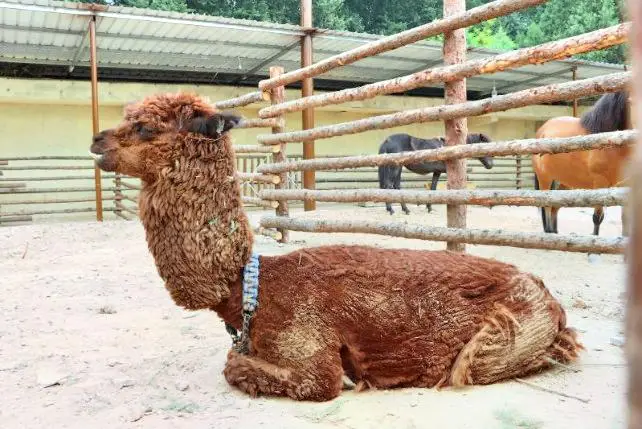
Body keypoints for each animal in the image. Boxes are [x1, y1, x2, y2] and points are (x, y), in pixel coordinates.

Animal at [528, 91, 632, 237]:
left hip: (565, 182)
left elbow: (625, 219)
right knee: (547, 206)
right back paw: (549, 233)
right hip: (545, 179)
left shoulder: (626, 184)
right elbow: (597, 217)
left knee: (555, 206)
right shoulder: (600, 183)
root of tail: (541, 130)